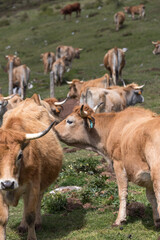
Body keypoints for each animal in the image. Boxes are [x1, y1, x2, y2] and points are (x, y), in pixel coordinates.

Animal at [0, 95, 63, 240]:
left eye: (20, 155)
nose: (7, 183)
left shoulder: (33, 186)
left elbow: (30, 215)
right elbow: (3, 219)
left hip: (41, 183)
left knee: (38, 200)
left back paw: (37, 224)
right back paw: (22, 226)